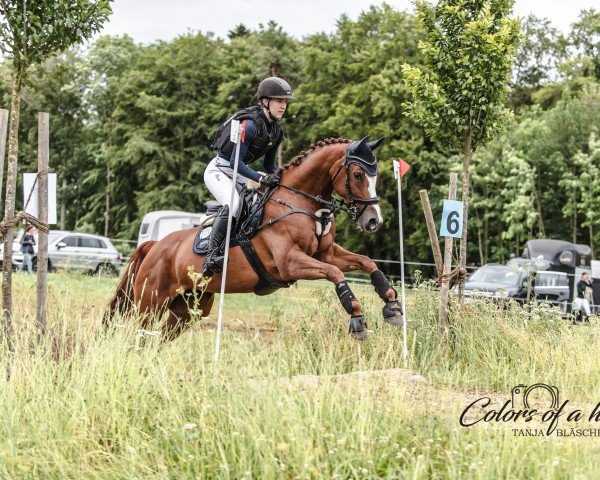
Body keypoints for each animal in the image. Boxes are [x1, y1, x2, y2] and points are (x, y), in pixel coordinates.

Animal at [106, 136, 404, 342]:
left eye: (376, 175)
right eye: (358, 175)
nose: (374, 220)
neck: (301, 202)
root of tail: (155, 246)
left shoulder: (326, 253)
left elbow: (366, 262)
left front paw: (392, 305)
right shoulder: (289, 263)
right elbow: (334, 273)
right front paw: (356, 317)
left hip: (189, 309)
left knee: (159, 339)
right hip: (150, 303)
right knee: (139, 335)